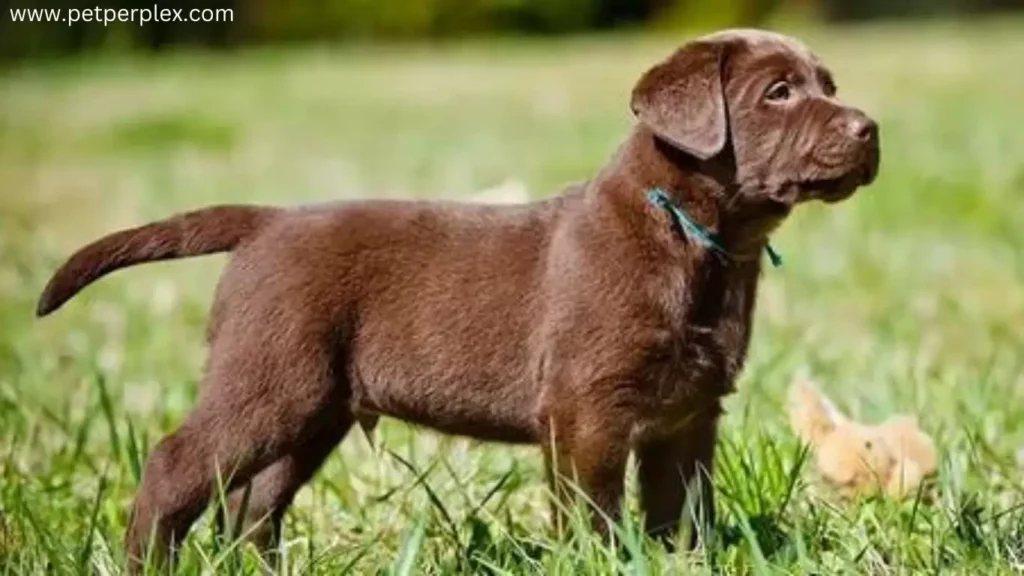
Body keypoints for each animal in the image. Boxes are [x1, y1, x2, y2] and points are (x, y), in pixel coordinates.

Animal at [36, 29, 876, 565]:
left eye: (830, 87)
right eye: (778, 92)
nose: (870, 128)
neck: (690, 235)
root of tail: (267, 220)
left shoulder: (689, 415)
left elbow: (682, 510)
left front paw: (684, 561)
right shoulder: (587, 410)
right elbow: (592, 514)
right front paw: (600, 560)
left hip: (315, 406)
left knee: (251, 502)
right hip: (270, 379)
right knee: (175, 465)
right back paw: (147, 561)